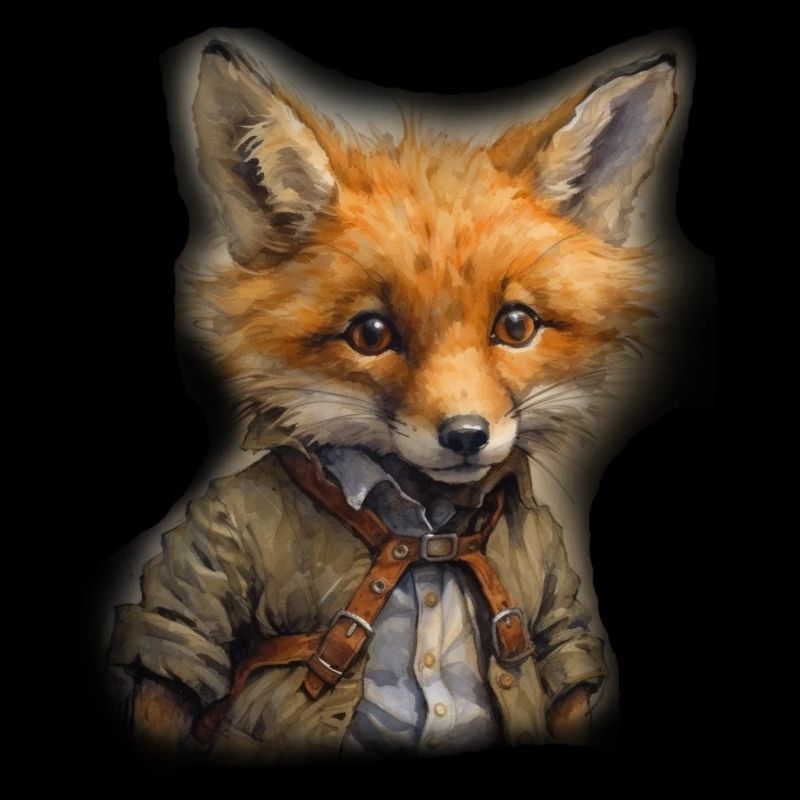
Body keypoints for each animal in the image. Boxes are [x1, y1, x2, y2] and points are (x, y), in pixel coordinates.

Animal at [107, 34, 689, 764]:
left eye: (516, 325)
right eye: (371, 334)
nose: (467, 434)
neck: (429, 532)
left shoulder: (553, 602)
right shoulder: (210, 570)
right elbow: (178, 653)